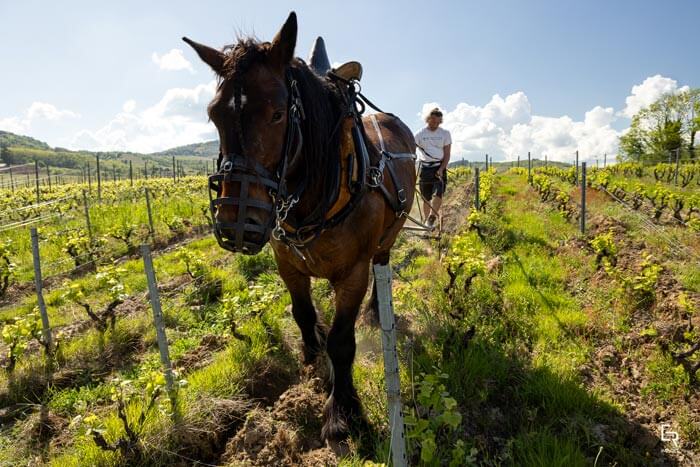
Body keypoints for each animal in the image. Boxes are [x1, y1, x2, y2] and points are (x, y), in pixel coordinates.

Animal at [183, 11, 416, 442]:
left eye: (277, 113)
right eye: (213, 114)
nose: (237, 224)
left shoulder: (353, 273)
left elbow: (342, 341)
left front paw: (342, 411)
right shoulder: (286, 264)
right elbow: (304, 315)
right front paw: (314, 364)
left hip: (387, 239)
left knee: (383, 266)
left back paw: (378, 312)